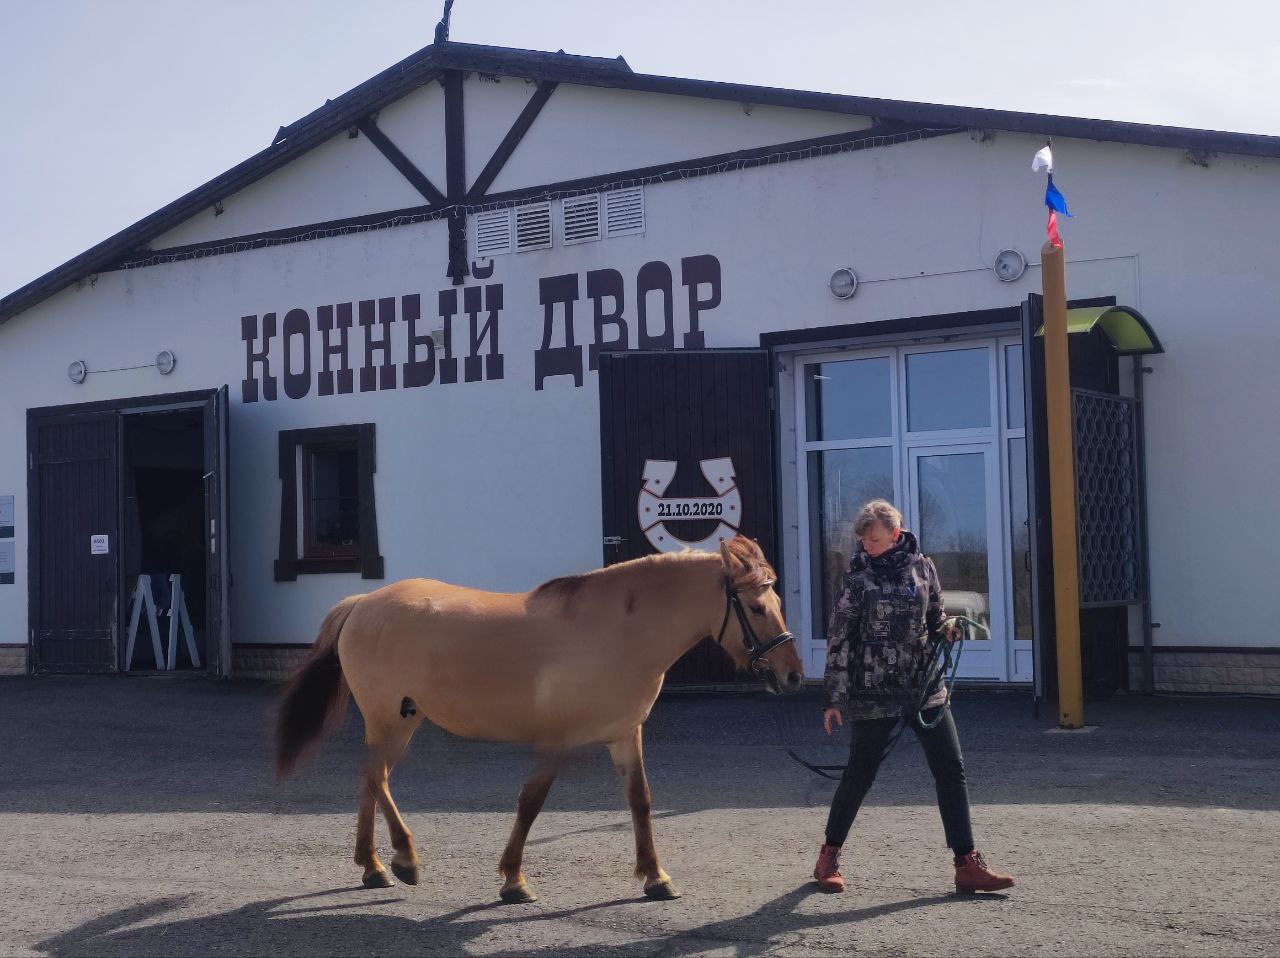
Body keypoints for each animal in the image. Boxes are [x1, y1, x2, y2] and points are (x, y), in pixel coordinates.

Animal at [276, 535, 803, 901]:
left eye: (777, 601)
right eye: (757, 606)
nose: (793, 675)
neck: (617, 630)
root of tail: (362, 603)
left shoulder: (624, 734)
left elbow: (641, 801)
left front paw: (655, 877)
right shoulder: (557, 739)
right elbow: (531, 803)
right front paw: (513, 880)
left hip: (402, 717)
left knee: (372, 779)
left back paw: (373, 867)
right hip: (388, 716)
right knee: (376, 777)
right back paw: (404, 859)